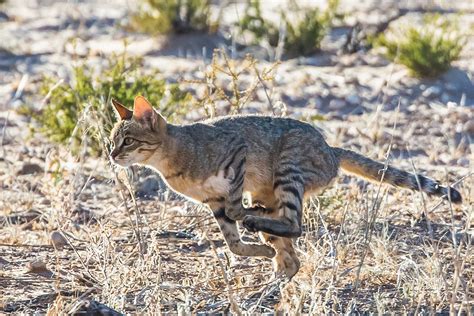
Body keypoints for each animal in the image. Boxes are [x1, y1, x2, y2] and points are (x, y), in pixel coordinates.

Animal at [110, 95, 460, 276]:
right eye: (112, 140)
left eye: (128, 141)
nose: (112, 155)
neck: (172, 162)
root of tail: (331, 150)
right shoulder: (213, 202)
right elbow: (233, 243)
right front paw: (258, 250)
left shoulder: (237, 155)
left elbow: (236, 209)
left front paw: (249, 219)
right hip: (276, 186)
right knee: (291, 254)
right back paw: (273, 264)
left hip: (288, 167)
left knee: (294, 224)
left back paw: (260, 222)